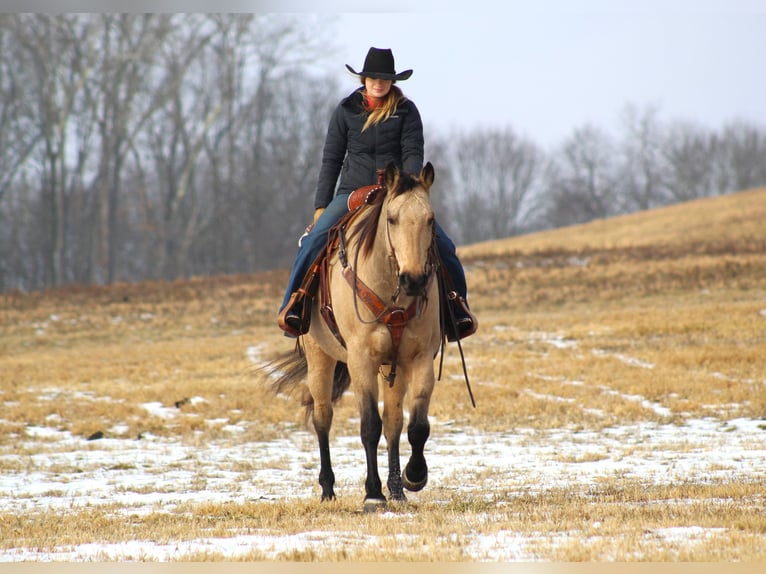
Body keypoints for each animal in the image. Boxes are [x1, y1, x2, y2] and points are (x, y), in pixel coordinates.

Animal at [272, 162, 448, 512]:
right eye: (392, 218)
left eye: (430, 219)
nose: (413, 280)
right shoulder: (361, 360)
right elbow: (369, 426)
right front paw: (373, 494)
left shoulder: (419, 358)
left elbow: (416, 426)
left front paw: (413, 477)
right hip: (320, 357)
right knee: (322, 417)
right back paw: (328, 488)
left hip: (391, 367)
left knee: (393, 422)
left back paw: (397, 490)